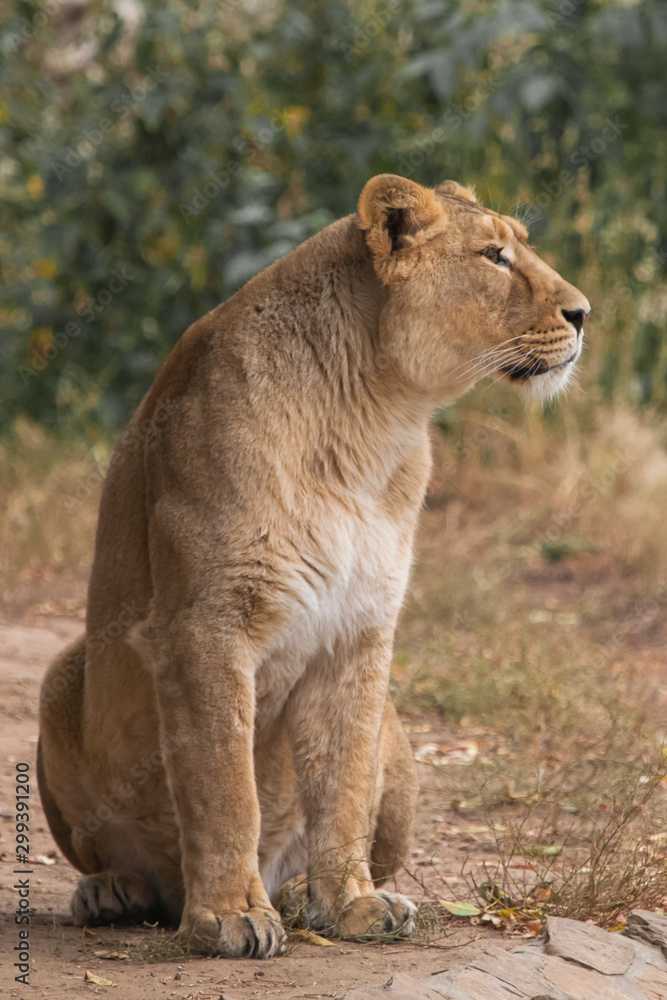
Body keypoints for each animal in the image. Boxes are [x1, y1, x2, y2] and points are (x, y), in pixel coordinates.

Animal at [37, 175, 589, 958]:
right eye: (493, 256)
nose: (584, 313)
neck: (372, 421)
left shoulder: (360, 628)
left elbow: (344, 781)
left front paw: (349, 903)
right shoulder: (202, 625)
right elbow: (225, 784)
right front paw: (228, 916)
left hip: (399, 734)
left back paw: (298, 892)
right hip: (62, 674)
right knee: (128, 865)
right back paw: (116, 891)